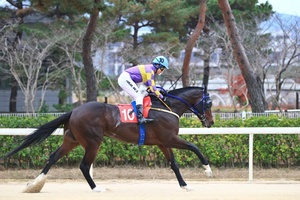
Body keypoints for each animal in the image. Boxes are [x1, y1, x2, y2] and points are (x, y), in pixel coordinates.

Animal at [1, 86, 213, 192]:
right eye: (209, 103)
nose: (210, 122)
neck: (166, 107)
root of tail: (74, 111)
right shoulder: (170, 138)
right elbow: (194, 147)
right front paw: (208, 170)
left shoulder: (163, 142)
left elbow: (174, 164)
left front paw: (185, 185)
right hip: (93, 141)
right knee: (84, 165)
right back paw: (96, 189)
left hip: (72, 140)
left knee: (53, 157)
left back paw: (34, 185)